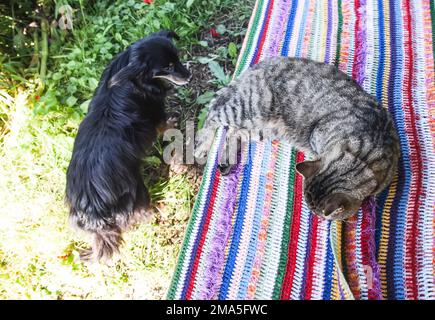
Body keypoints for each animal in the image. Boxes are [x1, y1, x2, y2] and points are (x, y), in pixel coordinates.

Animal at [66, 30, 191, 262]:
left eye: (177, 59)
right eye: (168, 67)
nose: (189, 76)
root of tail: (92, 209)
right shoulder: (156, 112)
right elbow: (163, 125)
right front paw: (171, 125)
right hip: (137, 192)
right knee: (143, 213)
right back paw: (159, 207)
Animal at [196, 57, 400, 220]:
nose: (314, 215)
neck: (364, 156)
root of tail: (261, 63)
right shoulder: (317, 134)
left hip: (261, 128)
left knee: (234, 133)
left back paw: (226, 160)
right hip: (247, 107)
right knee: (213, 112)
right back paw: (202, 147)